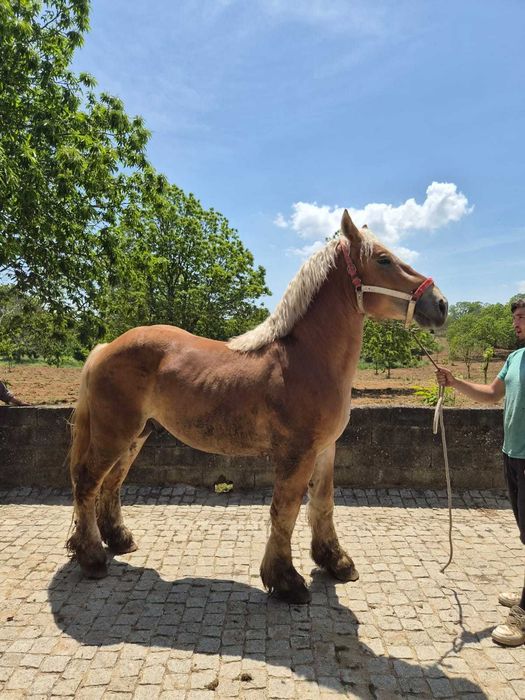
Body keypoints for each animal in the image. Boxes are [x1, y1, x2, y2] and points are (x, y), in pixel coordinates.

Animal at [67, 210, 448, 603]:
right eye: (383, 259)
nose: (441, 304)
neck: (304, 359)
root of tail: (106, 347)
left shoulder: (325, 449)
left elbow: (323, 502)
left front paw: (335, 561)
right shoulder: (297, 454)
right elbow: (285, 511)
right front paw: (286, 580)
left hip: (136, 434)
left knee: (111, 483)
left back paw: (118, 540)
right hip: (114, 433)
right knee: (87, 482)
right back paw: (92, 557)